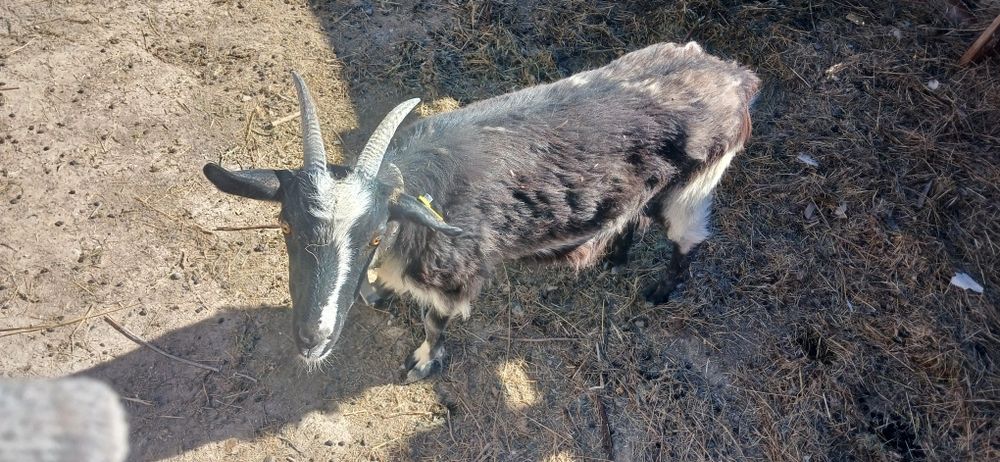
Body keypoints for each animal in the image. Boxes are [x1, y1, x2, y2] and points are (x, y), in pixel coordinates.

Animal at [204, 42, 759, 382]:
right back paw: (616, 256)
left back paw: (661, 290)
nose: (312, 338)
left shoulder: (453, 280)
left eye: (375, 235)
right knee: (633, 216)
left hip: (696, 185)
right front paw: (375, 293)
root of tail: (734, 76)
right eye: (284, 224)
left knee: (688, 239)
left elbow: (434, 324)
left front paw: (422, 365)